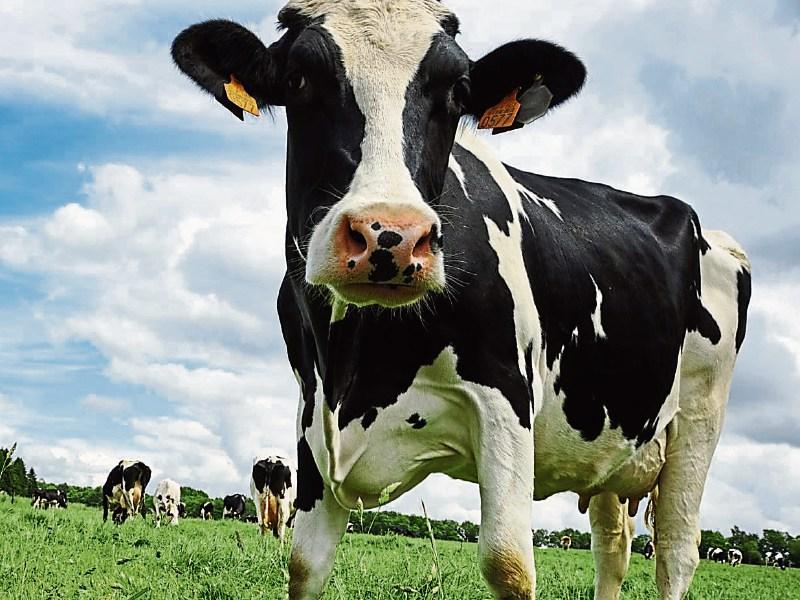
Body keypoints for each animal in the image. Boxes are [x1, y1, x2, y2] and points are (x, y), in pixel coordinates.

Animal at [172, 1, 752, 598]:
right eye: (297, 79)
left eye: (458, 89)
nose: (391, 234)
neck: (357, 363)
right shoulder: (313, 418)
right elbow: (305, 565)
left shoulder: (505, 399)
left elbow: (508, 564)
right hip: (614, 441)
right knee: (612, 547)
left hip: (698, 423)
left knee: (676, 551)